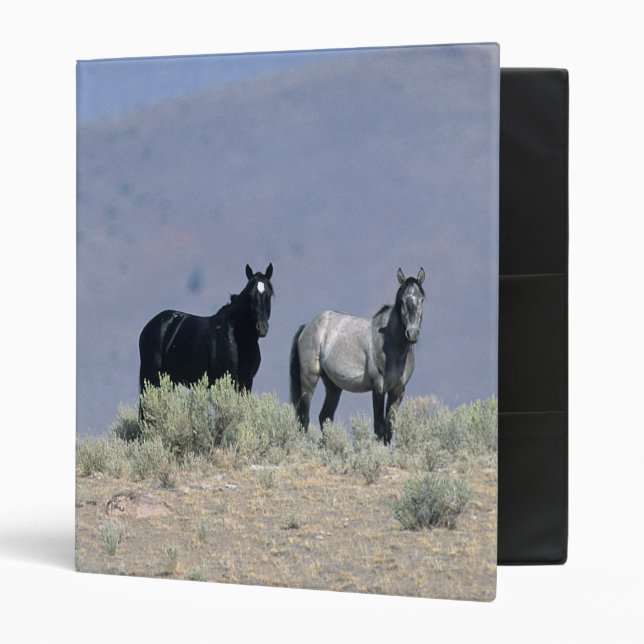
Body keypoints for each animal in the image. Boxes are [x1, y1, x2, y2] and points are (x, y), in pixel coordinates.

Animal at [138, 263, 274, 409]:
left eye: (270, 294)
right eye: (250, 295)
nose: (262, 327)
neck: (238, 339)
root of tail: (148, 327)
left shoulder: (246, 382)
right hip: (151, 377)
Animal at [289, 267, 425, 445]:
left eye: (421, 299)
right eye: (402, 301)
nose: (412, 333)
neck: (391, 344)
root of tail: (307, 326)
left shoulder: (398, 391)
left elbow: (389, 428)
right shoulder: (378, 388)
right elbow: (379, 426)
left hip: (333, 385)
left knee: (325, 416)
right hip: (309, 380)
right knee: (304, 417)